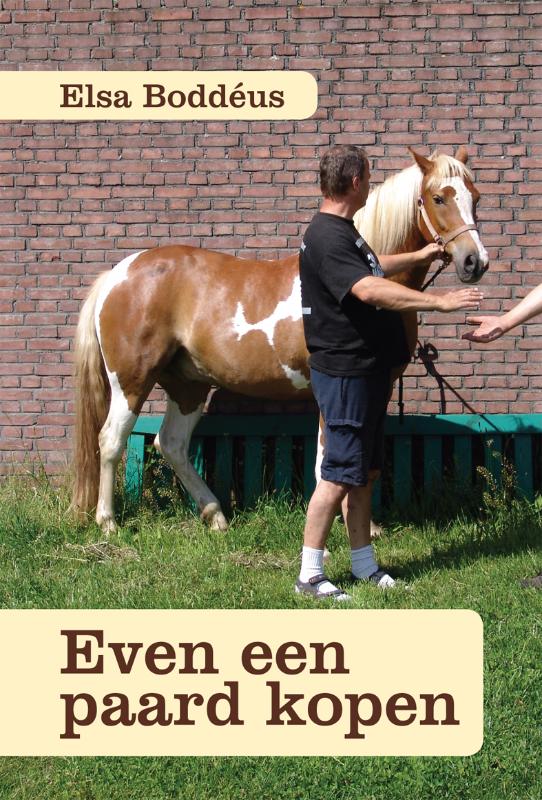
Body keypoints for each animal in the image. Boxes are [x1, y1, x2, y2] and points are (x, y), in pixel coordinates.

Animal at [72, 147, 489, 534]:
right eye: (438, 198)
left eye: (475, 196)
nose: (475, 262)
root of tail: (118, 274)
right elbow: (332, 464)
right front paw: (354, 526)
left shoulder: (375, 389)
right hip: (132, 381)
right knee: (111, 440)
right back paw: (108, 522)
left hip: (188, 385)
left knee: (171, 444)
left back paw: (216, 516)